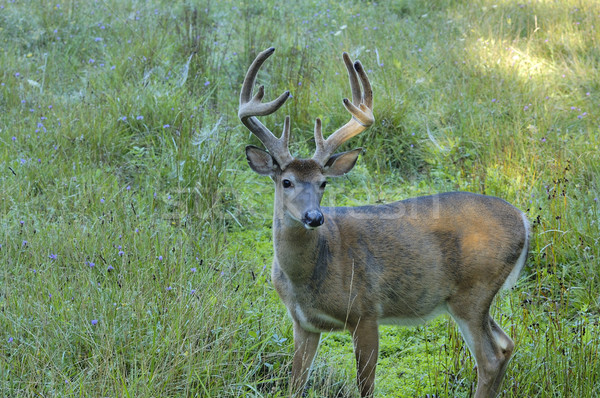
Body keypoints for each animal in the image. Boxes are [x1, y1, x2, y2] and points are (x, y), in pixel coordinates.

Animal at [239, 47, 528, 398]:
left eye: (323, 183)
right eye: (286, 182)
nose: (314, 217)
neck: (306, 277)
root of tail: (523, 220)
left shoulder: (365, 312)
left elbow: (366, 387)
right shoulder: (303, 324)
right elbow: (296, 384)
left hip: (474, 292)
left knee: (490, 358)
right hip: (472, 299)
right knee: (507, 345)